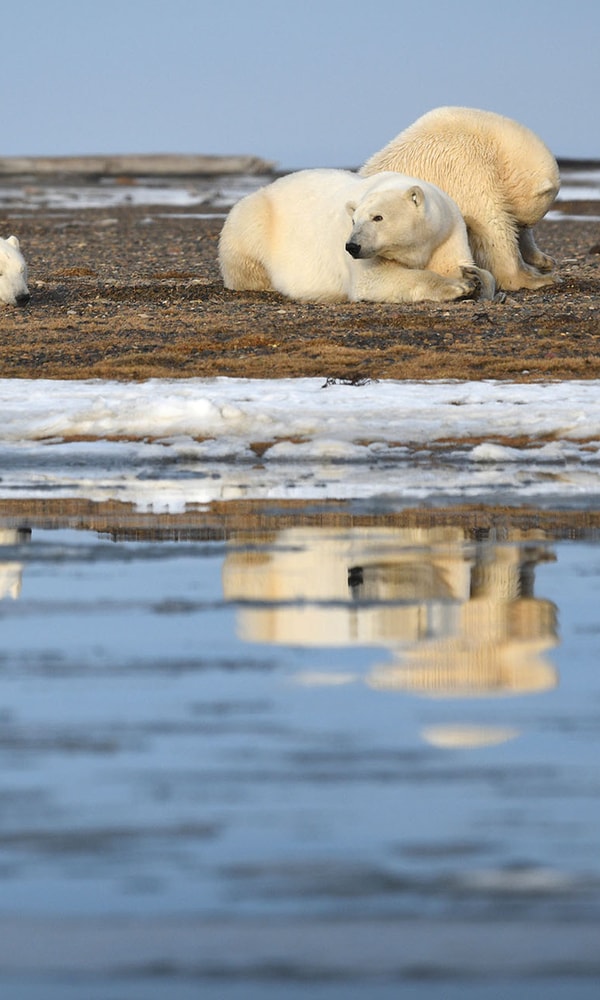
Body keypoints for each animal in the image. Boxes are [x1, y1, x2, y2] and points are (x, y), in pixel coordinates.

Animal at [218, 168, 496, 304]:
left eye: (378, 217)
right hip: (253, 220)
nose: (352, 246)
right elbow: (373, 279)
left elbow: (458, 264)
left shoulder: (447, 232)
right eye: (354, 220)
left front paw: (473, 276)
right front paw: (459, 286)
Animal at [360, 106, 560, 292]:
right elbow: (492, 229)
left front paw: (544, 260)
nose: (522, 229)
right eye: (523, 224)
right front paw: (536, 278)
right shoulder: (468, 169)